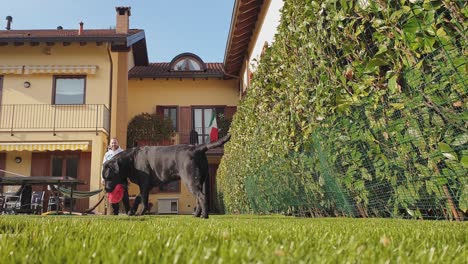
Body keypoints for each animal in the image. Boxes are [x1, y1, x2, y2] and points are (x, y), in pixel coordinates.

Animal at [102, 134, 230, 219]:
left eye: (109, 177)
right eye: (104, 177)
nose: (106, 189)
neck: (130, 159)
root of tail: (196, 148)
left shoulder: (144, 184)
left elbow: (144, 200)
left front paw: (140, 213)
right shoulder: (147, 186)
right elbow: (138, 198)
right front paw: (132, 211)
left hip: (190, 180)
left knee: (201, 197)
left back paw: (204, 215)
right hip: (198, 180)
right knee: (198, 198)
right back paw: (197, 214)